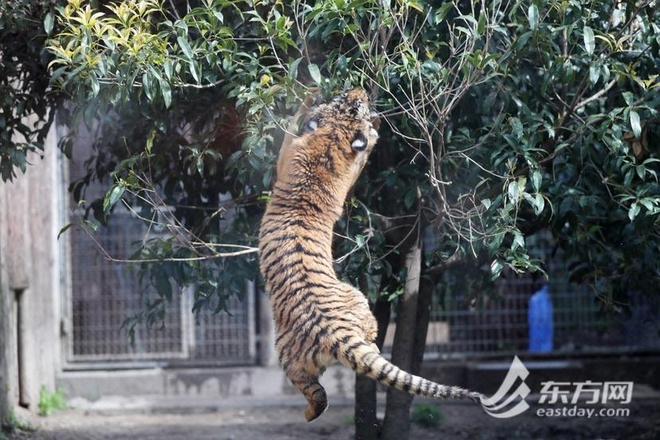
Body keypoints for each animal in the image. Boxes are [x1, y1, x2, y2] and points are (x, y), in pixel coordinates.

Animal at [258, 88, 482, 422]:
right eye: (350, 102)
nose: (360, 91)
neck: (331, 141)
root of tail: (337, 334)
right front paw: (373, 129)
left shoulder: (287, 153)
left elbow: (291, 124)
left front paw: (308, 93)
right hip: (348, 315)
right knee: (352, 365)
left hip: (288, 353)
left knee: (315, 391)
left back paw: (308, 415)